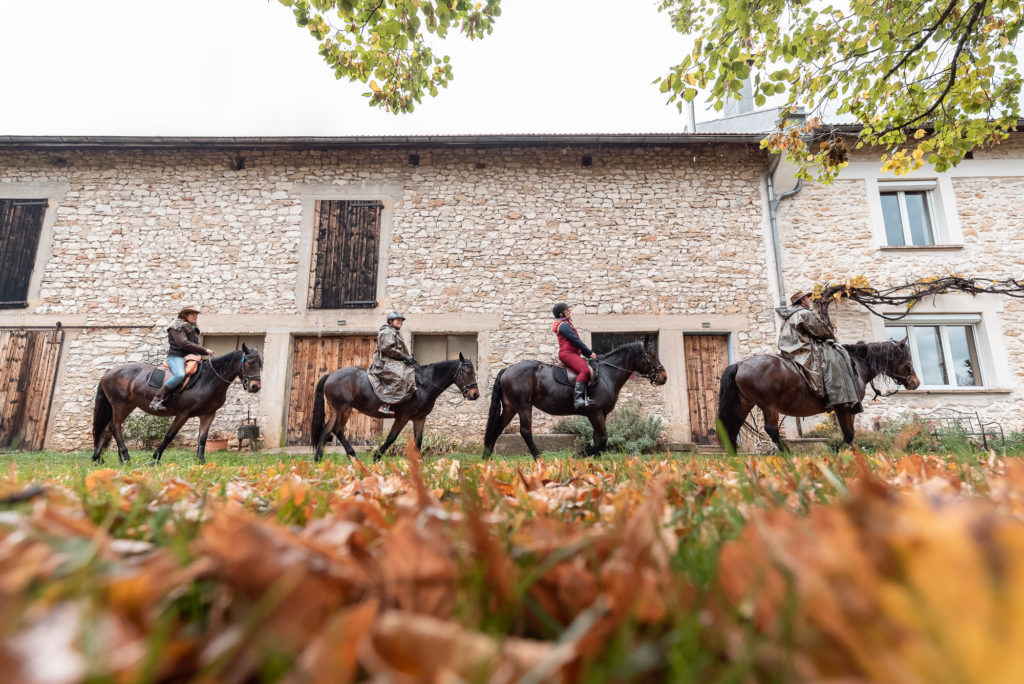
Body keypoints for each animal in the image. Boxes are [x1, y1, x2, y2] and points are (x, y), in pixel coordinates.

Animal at [91, 348, 264, 464]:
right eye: (249, 363)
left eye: (260, 364)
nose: (255, 387)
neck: (208, 380)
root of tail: (108, 373)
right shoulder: (183, 414)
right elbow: (169, 436)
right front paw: (155, 459)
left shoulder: (208, 414)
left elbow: (203, 438)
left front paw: (201, 462)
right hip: (120, 404)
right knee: (115, 427)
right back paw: (125, 456)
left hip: (128, 405)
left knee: (107, 429)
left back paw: (99, 459)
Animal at [307, 352, 479, 464]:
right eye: (467, 372)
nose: (475, 394)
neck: (423, 385)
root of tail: (331, 375)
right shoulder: (403, 417)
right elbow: (392, 437)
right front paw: (376, 456)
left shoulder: (419, 418)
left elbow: (418, 440)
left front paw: (419, 463)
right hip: (344, 409)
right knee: (337, 430)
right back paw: (353, 455)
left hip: (336, 410)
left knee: (326, 430)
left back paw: (318, 460)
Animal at [483, 339, 667, 458]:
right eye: (650, 355)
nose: (663, 377)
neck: (607, 375)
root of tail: (507, 370)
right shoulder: (596, 412)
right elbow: (603, 438)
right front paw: (580, 454)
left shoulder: (601, 414)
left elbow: (598, 437)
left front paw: (595, 460)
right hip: (523, 407)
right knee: (525, 432)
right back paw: (538, 457)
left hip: (511, 408)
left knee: (498, 428)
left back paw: (487, 456)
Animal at [716, 337, 925, 454]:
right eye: (907, 359)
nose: (915, 382)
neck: (857, 364)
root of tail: (740, 364)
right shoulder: (844, 407)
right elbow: (849, 434)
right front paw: (843, 453)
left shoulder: (846, 409)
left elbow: (849, 434)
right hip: (769, 406)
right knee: (771, 430)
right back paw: (787, 453)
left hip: (744, 404)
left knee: (732, 428)